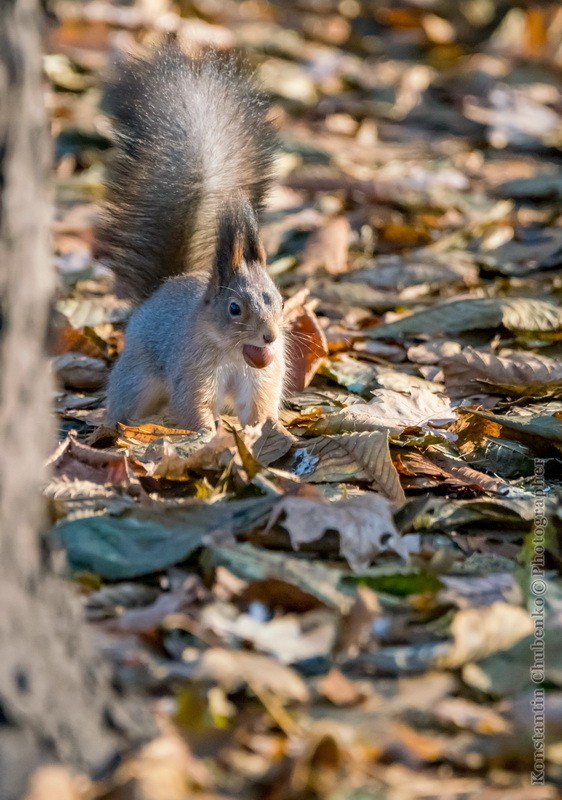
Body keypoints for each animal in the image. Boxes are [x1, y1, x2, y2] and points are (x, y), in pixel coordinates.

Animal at [95, 43, 284, 432]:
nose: (270, 336)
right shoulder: (193, 367)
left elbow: (258, 404)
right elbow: (192, 404)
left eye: (279, 300)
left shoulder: (262, 375)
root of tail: (160, 291)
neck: (234, 352)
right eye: (234, 308)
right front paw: (207, 433)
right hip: (135, 380)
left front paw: (259, 429)